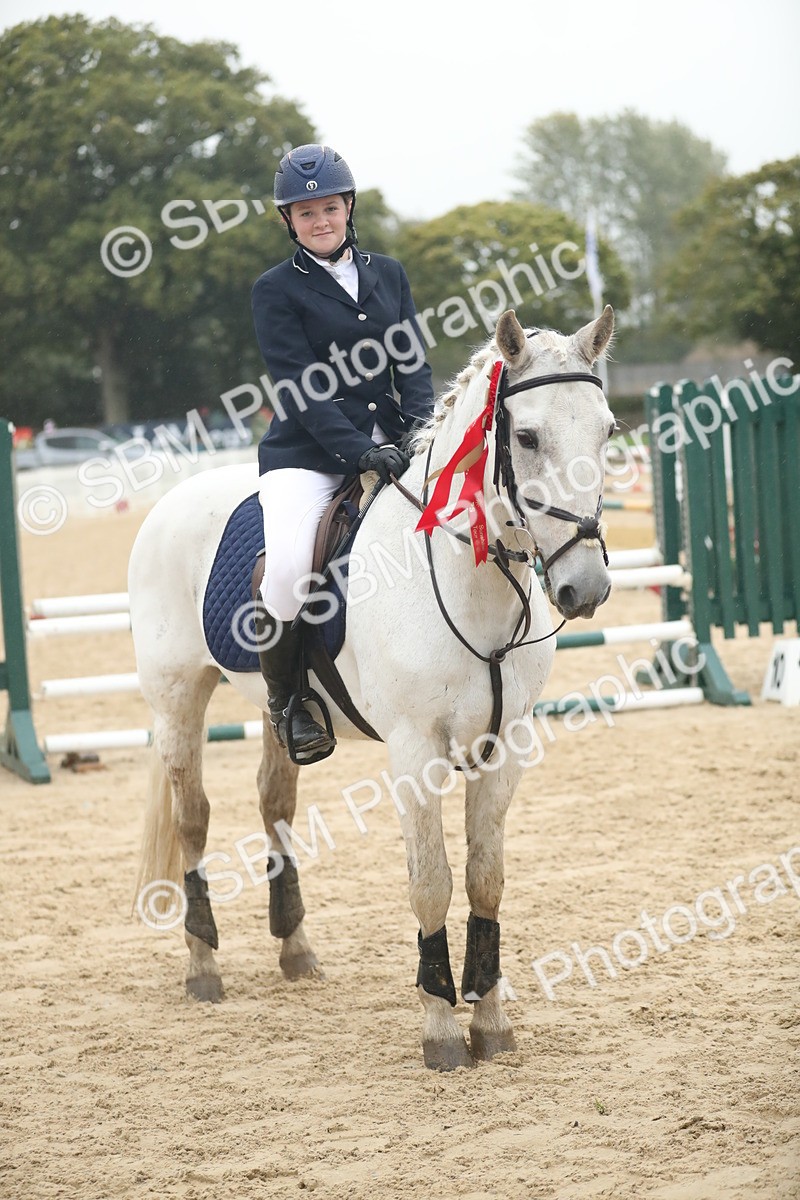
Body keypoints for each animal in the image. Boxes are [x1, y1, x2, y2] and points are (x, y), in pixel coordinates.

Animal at [131, 306, 616, 1071]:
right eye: (528, 436)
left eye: (608, 430)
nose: (585, 587)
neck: (470, 577)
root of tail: (171, 499)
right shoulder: (415, 752)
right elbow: (431, 882)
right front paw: (442, 1027)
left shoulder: (505, 747)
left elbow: (486, 878)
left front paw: (491, 1020)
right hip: (178, 697)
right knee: (193, 821)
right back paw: (203, 965)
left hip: (276, 711)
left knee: (274, 801)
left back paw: (295, 950)